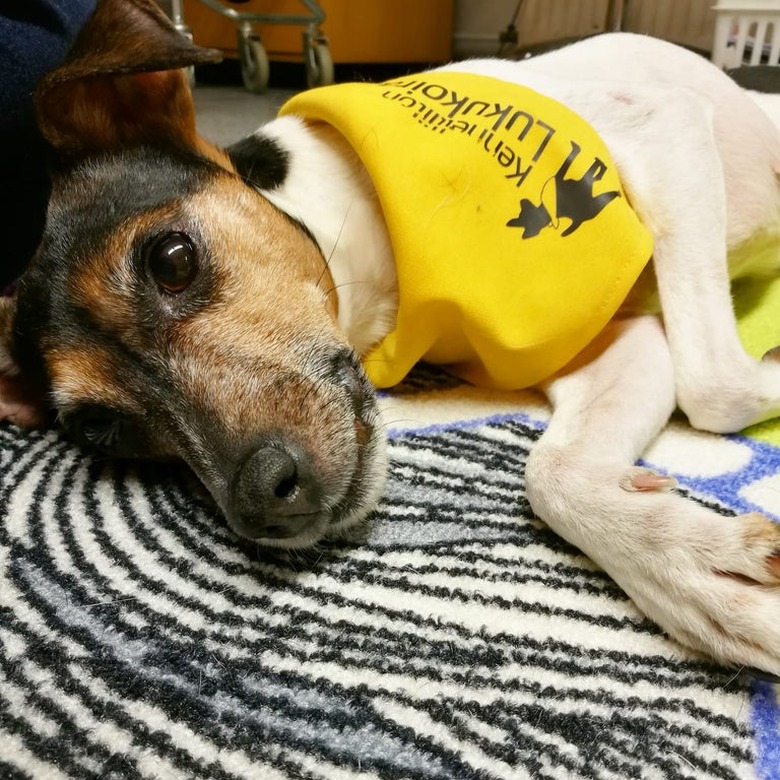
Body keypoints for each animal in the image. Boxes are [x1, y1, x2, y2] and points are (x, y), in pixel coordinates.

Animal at [1, 0, 780, 672]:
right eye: (102, 430)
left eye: (170, 259)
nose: (262, 503)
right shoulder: (599, 341)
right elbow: (554, 473)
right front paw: (693, 567)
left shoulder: (664, 128)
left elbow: (712, 386)